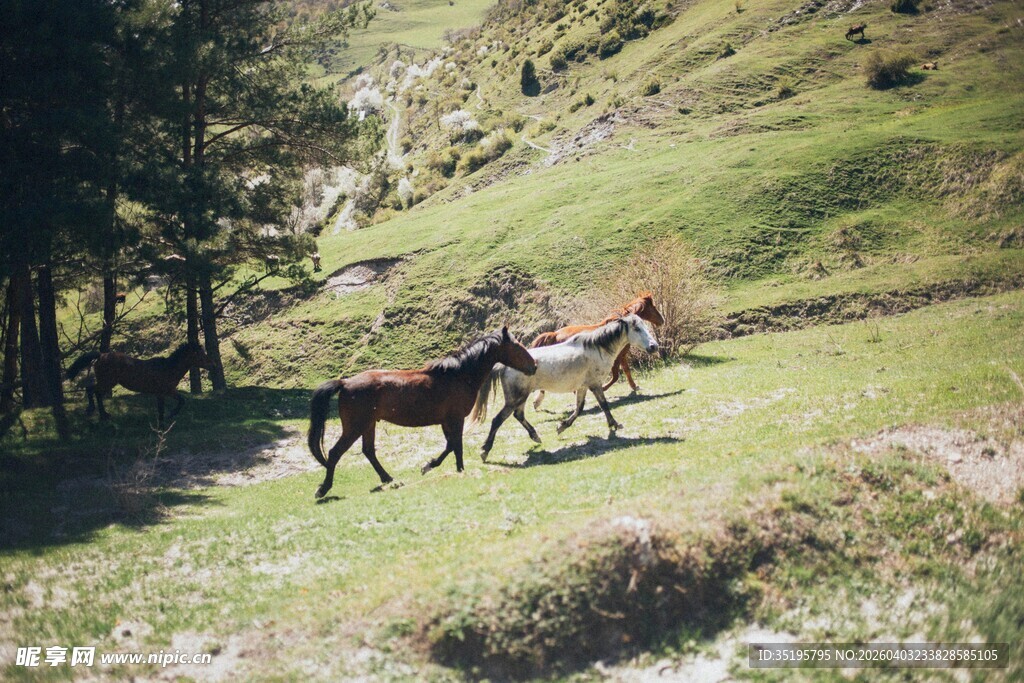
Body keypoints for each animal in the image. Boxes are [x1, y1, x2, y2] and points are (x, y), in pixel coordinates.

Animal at [66, 342, 216, 428]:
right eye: (200, 354)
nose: (213, 365)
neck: (168, 368)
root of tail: (101, 355)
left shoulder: (169, 391)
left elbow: (181, 401)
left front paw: (170, 415)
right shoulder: (161, 393)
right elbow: (161, 409)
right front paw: (162, 424)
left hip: (107, 382)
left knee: (92, 390)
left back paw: (100, 414)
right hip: (108, 381)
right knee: (94, 391)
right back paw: (99, 413)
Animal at [307, 326, 537, 498]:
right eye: (516, 346)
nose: (534, 365)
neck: (459, 376)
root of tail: (344, 383)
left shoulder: (446, 421)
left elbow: (450, 446)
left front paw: (430, 466)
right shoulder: (455, 419)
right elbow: (457, 446)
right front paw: (455, 469)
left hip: (368, 425)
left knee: (369, 451)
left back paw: (388, 479)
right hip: (355, 427)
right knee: (335, 453)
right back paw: (323, 489)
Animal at [470, 314, 658, 459]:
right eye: (637, 328)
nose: (654, 346)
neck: (597, 348)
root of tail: (503, 365)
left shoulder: (583, 386)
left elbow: (579, 408)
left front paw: (561, 427)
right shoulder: (595, 384)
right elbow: (603, 405)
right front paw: (615, 424)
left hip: (521, 397)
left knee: (518, 415)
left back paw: (535, 436)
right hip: (515, 398)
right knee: (498, 419)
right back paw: (485, 451)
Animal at [530, 291, 664, 409]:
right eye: (653, 307)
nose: (662, 320)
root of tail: (554, 334)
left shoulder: (621, 356)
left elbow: (626, 370)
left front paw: (634, 387)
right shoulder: (617, 357)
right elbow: (616, 376)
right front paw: (604, 387)